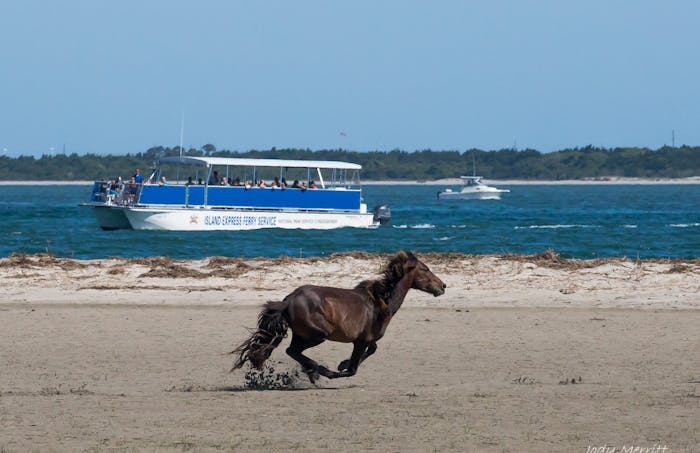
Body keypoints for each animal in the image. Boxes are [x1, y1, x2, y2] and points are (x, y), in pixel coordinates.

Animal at [232, 251, 446, 382]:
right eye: (425, 269)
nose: (443, 286)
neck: (381, 303)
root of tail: (287, 301)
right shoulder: (360, 341)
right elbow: (353, 369)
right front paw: (339, 368)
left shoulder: (368, 339)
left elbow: (373, 350)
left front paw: (342, 363)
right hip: (317, 335)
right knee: (292, 351)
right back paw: (317, 371)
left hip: (303, 334)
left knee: (293, 351)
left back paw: (312, 371)